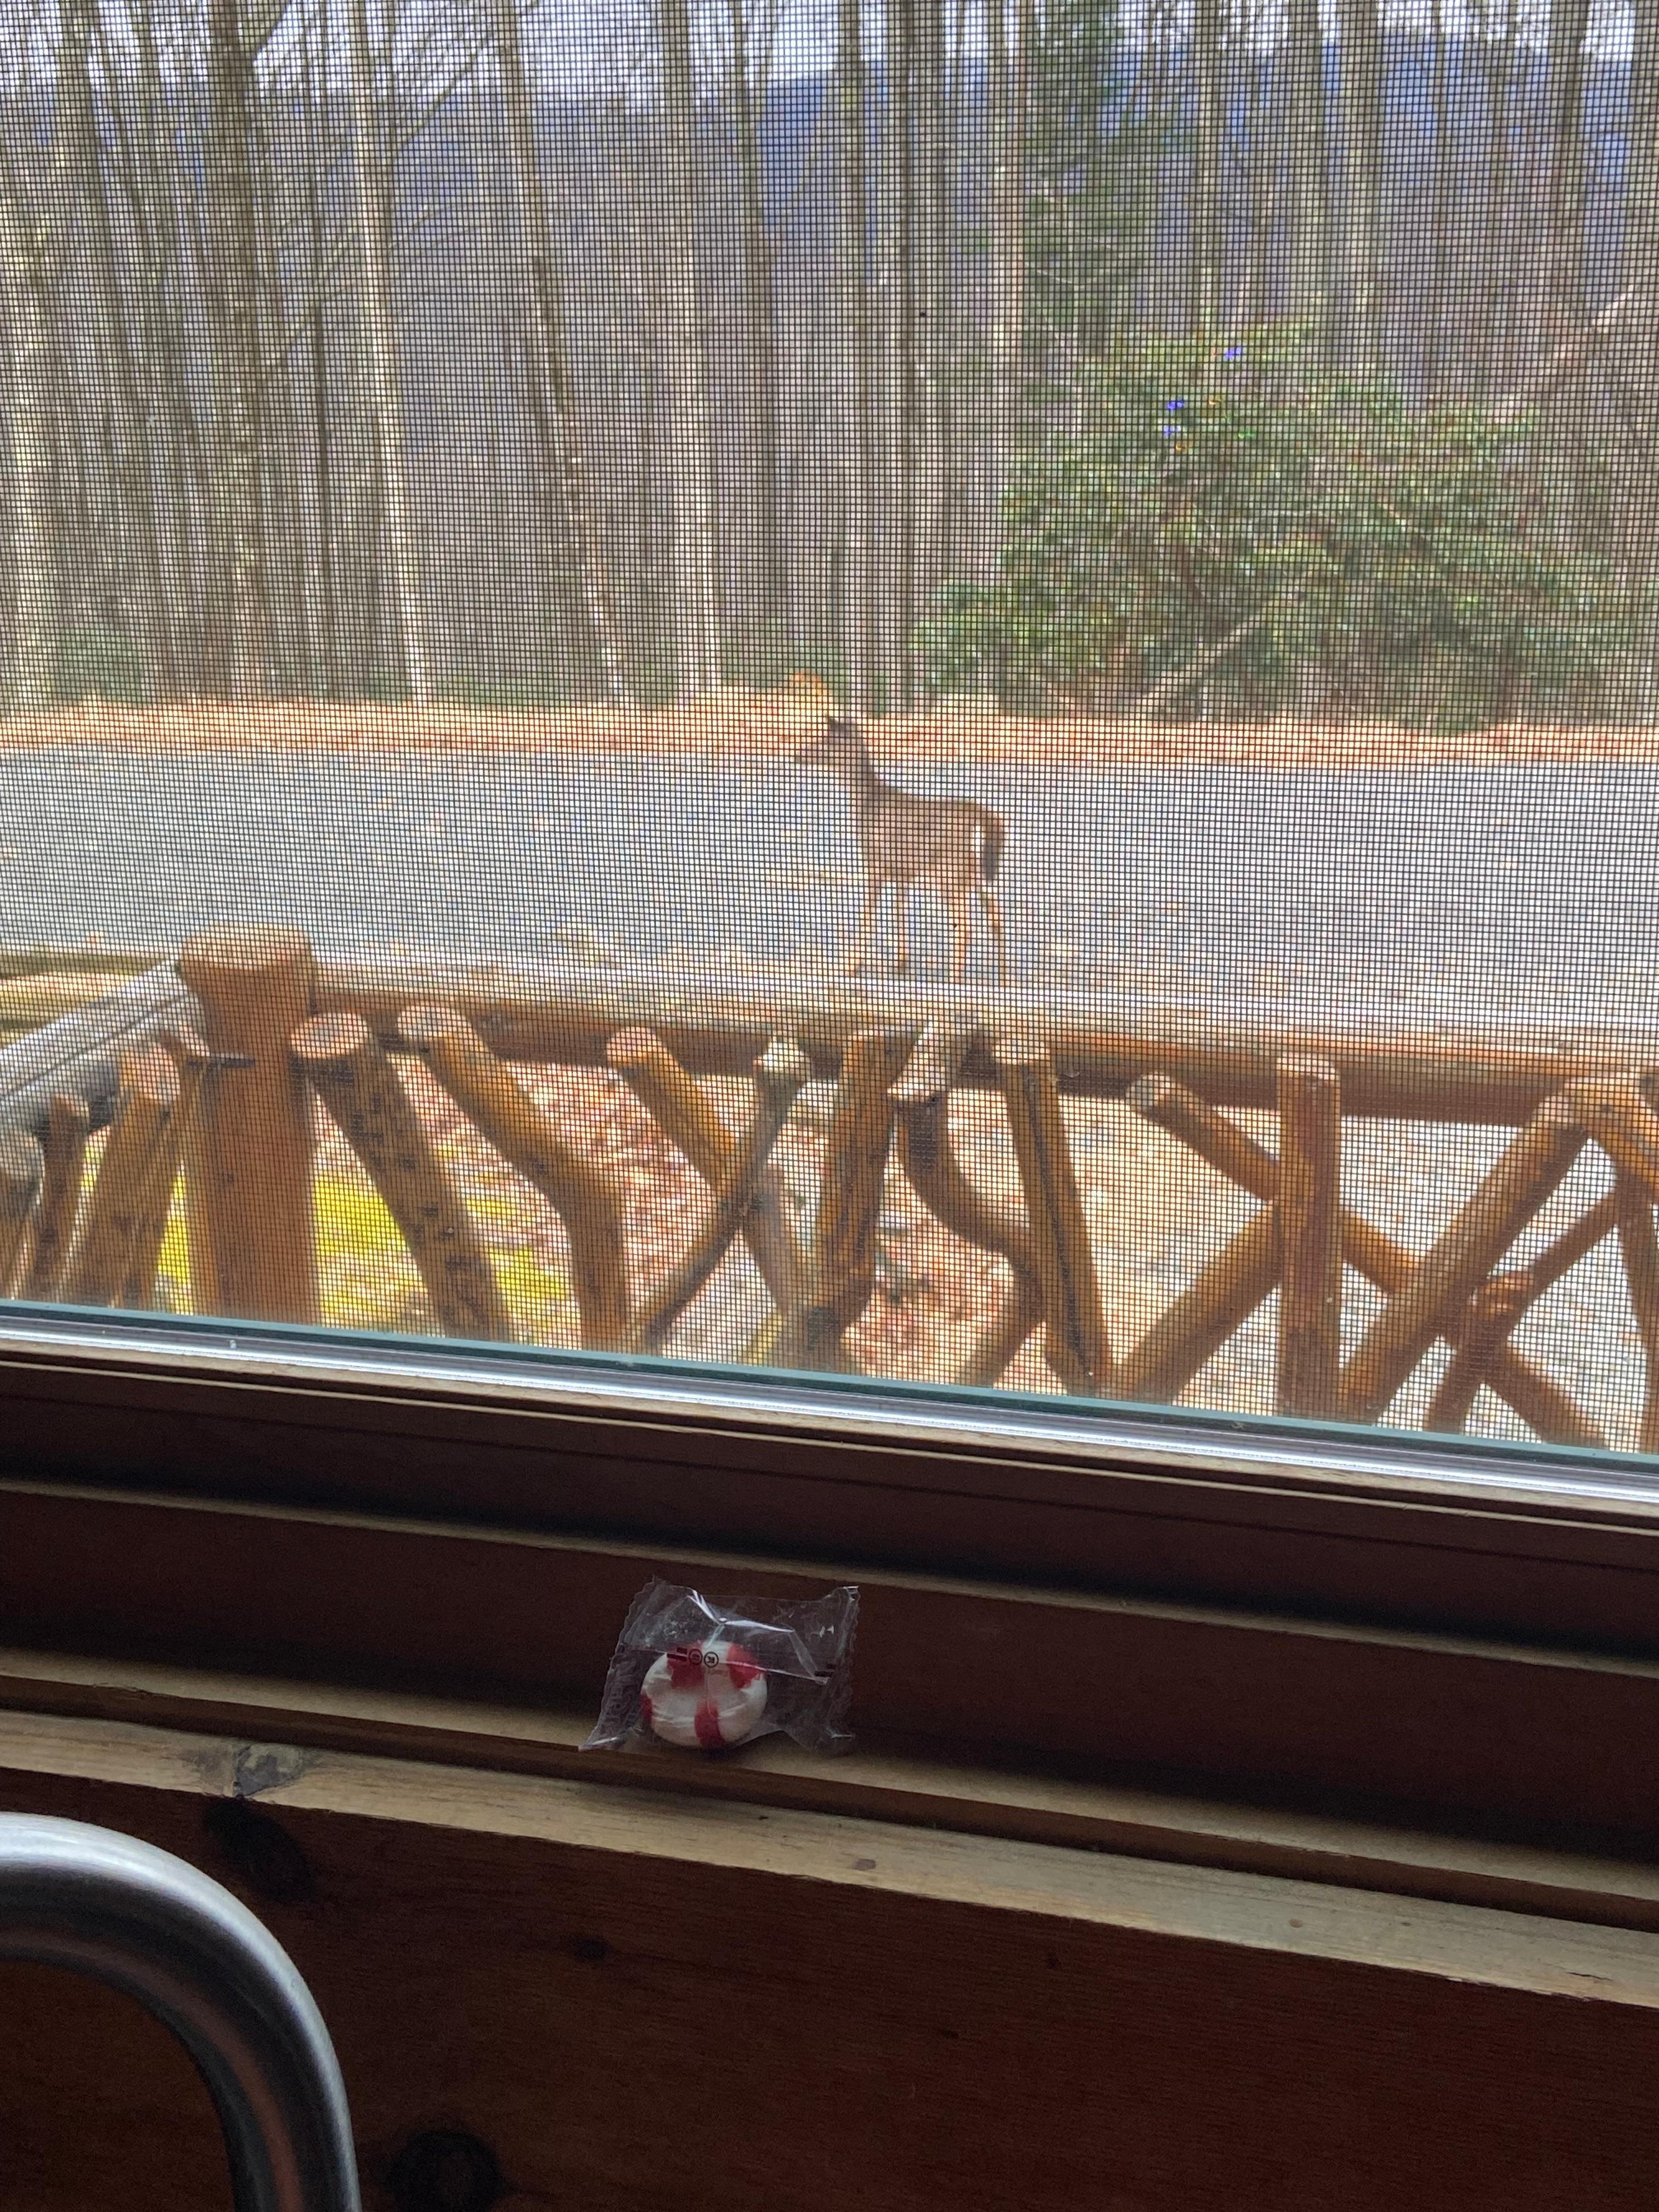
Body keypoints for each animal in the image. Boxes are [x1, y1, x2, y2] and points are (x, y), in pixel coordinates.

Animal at [797, 712, 1010, 987]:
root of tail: (981, 818)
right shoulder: (901, 871)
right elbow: (900, 911)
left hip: (950, 874)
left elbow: (868, 914)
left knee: (966, 926)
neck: (867, 804)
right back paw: (1005, 980)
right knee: (996, 916)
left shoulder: (875, 863)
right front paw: (900, 963)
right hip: (978, 874)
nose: (799, 754)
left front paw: (851, 966)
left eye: (825, 740)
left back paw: (955, 980)